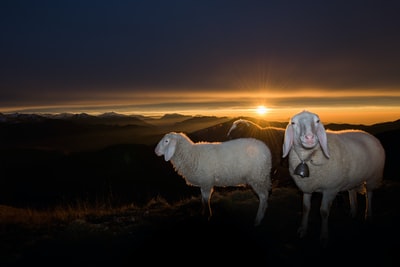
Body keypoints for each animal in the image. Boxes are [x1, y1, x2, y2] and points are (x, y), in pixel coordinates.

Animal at [282, 110, 384, 246]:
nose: (309, 137)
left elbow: (324, 212)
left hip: (373, 176)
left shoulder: (330, 189)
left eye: (317, 121)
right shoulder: (307, 187)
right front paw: (303, 230)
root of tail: (368, 134)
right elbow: (305, 208)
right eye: (293, 123)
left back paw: (368, 215)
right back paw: (353, 211)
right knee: (352, 191)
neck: (308, 157)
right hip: (351, 178)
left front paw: (324, 236)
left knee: (369, 194)